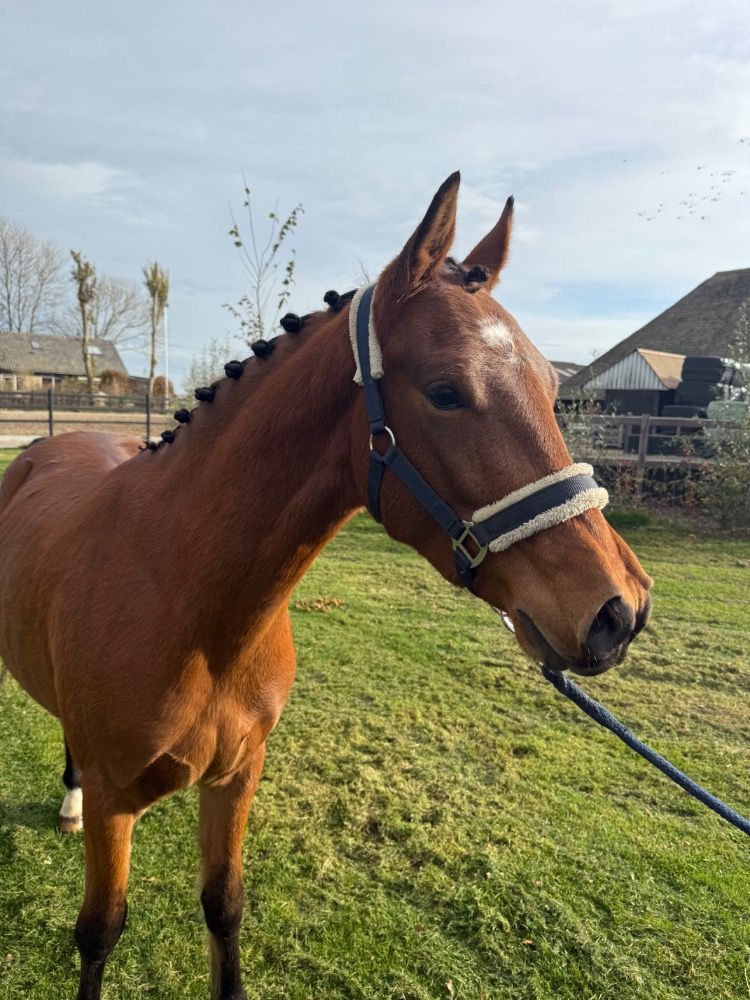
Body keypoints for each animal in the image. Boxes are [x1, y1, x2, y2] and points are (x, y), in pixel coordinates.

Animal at [0, 172, 652, 1000]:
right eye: (446, 391)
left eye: (546, 383)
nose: (619, 612)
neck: (192, 608)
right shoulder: (120, 808)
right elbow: (100, 933)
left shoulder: (236, 779)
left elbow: (224, 908)